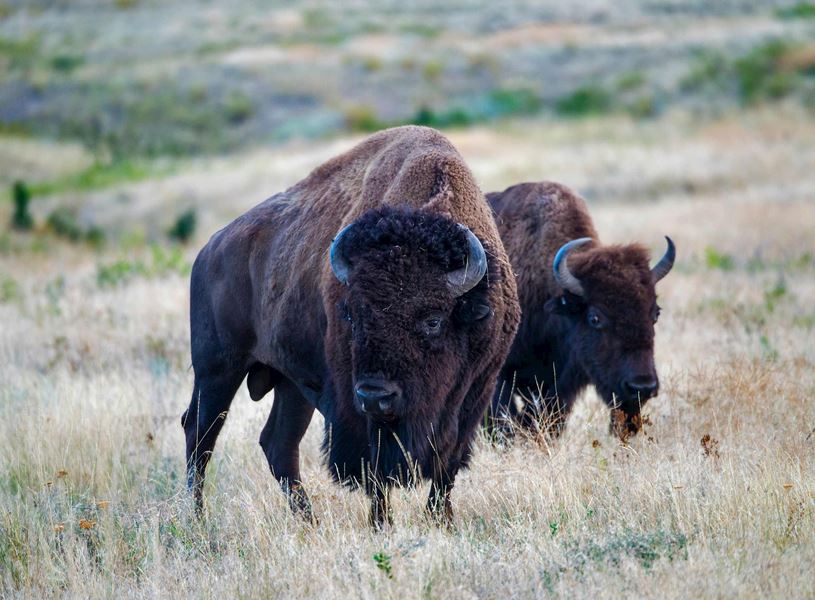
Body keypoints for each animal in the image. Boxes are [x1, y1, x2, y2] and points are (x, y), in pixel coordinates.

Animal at [181, 126, 520, 527]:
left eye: (433, 320)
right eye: (352, 315)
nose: (376, 395)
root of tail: (209, 250)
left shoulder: (473, 396)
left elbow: (446, 464)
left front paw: (441, 520)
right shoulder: (351, 404)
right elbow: (373, 466)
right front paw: (381, 523)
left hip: (291, 385)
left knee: (278, 443)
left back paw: (308, 522)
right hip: (217, 370)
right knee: (200, 434)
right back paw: (196, 520)